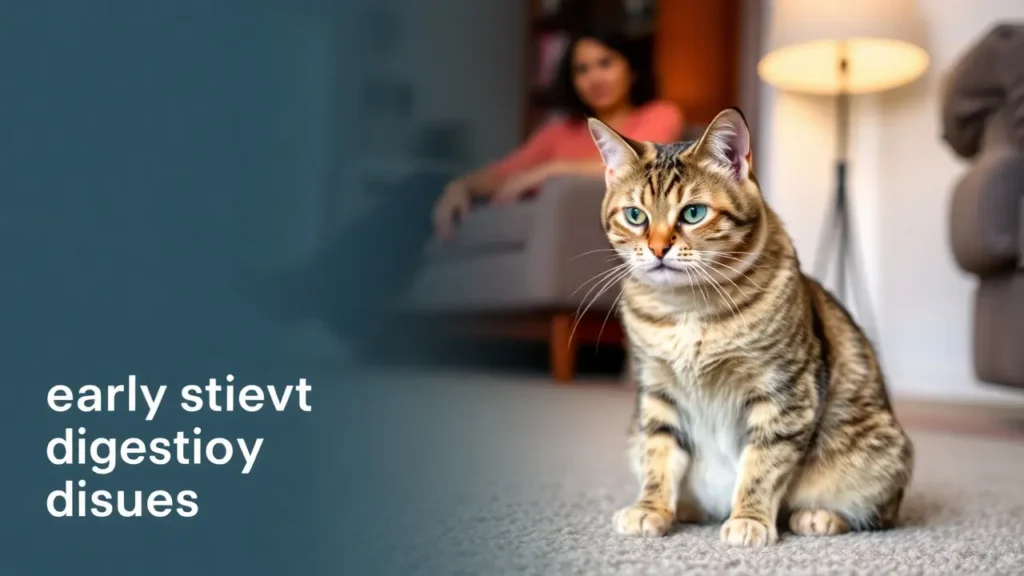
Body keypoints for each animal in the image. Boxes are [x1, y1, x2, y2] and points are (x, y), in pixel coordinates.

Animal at [589, 108, 917, 545]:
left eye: (693, 213)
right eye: (635, 216)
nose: (658, 249)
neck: (687, 310)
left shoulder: (785, 391)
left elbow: (762, 464)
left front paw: (749, 519)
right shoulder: (658, 391)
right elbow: (657, 456)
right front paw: (651, 509)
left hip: (879, 455)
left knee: (880, 513)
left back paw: (818, 517)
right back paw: (688, 509)